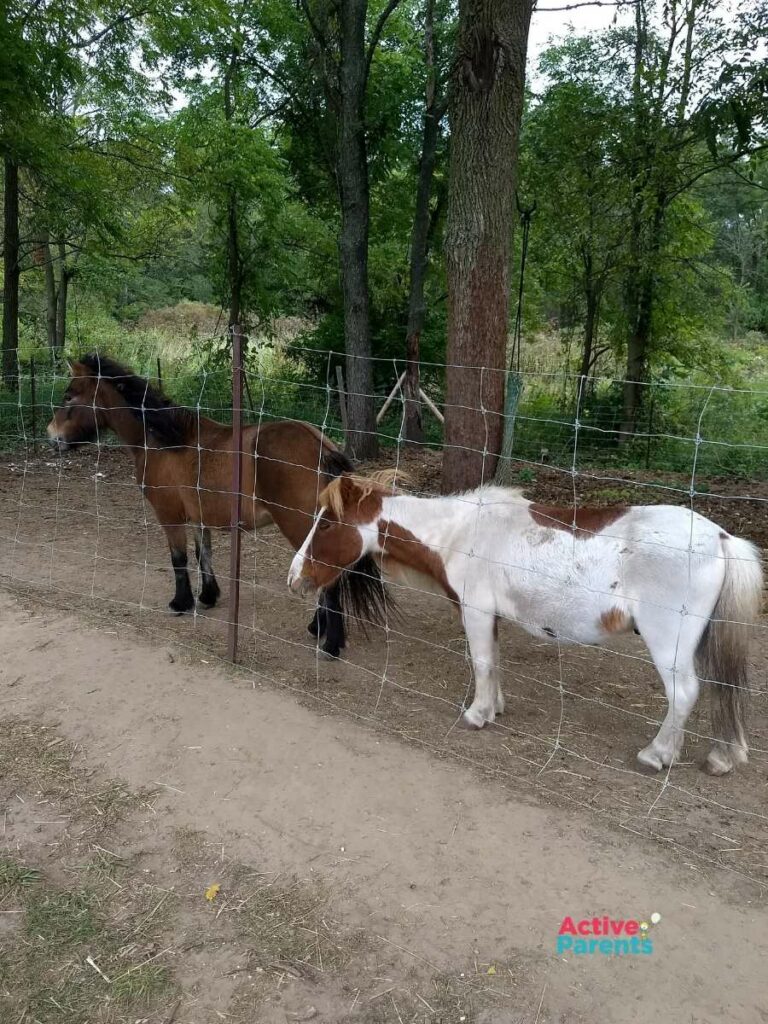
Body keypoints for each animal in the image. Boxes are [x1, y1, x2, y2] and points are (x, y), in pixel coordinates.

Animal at [47, 354, 385, 655]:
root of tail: (321, 446)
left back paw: (330, 643)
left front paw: (181, 603)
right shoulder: (199, 515)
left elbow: (179, 558)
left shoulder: (169, 515)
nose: (52, 437)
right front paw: (208, 596)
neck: (165, 440)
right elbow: (202, 554)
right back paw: (318, 628)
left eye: (68, 396)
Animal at [290, 477, 765, 774]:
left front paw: (477, 714)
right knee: (721, 688)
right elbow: (494, 661)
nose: (296, 578)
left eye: (327, 523)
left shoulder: (476, 611)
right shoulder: (491, 616)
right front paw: (495, 707)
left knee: (684, 693)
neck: (461, 532)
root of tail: (721, 537)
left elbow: (482, 662)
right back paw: (722, 757)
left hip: (670, 642)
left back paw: (657, 754)